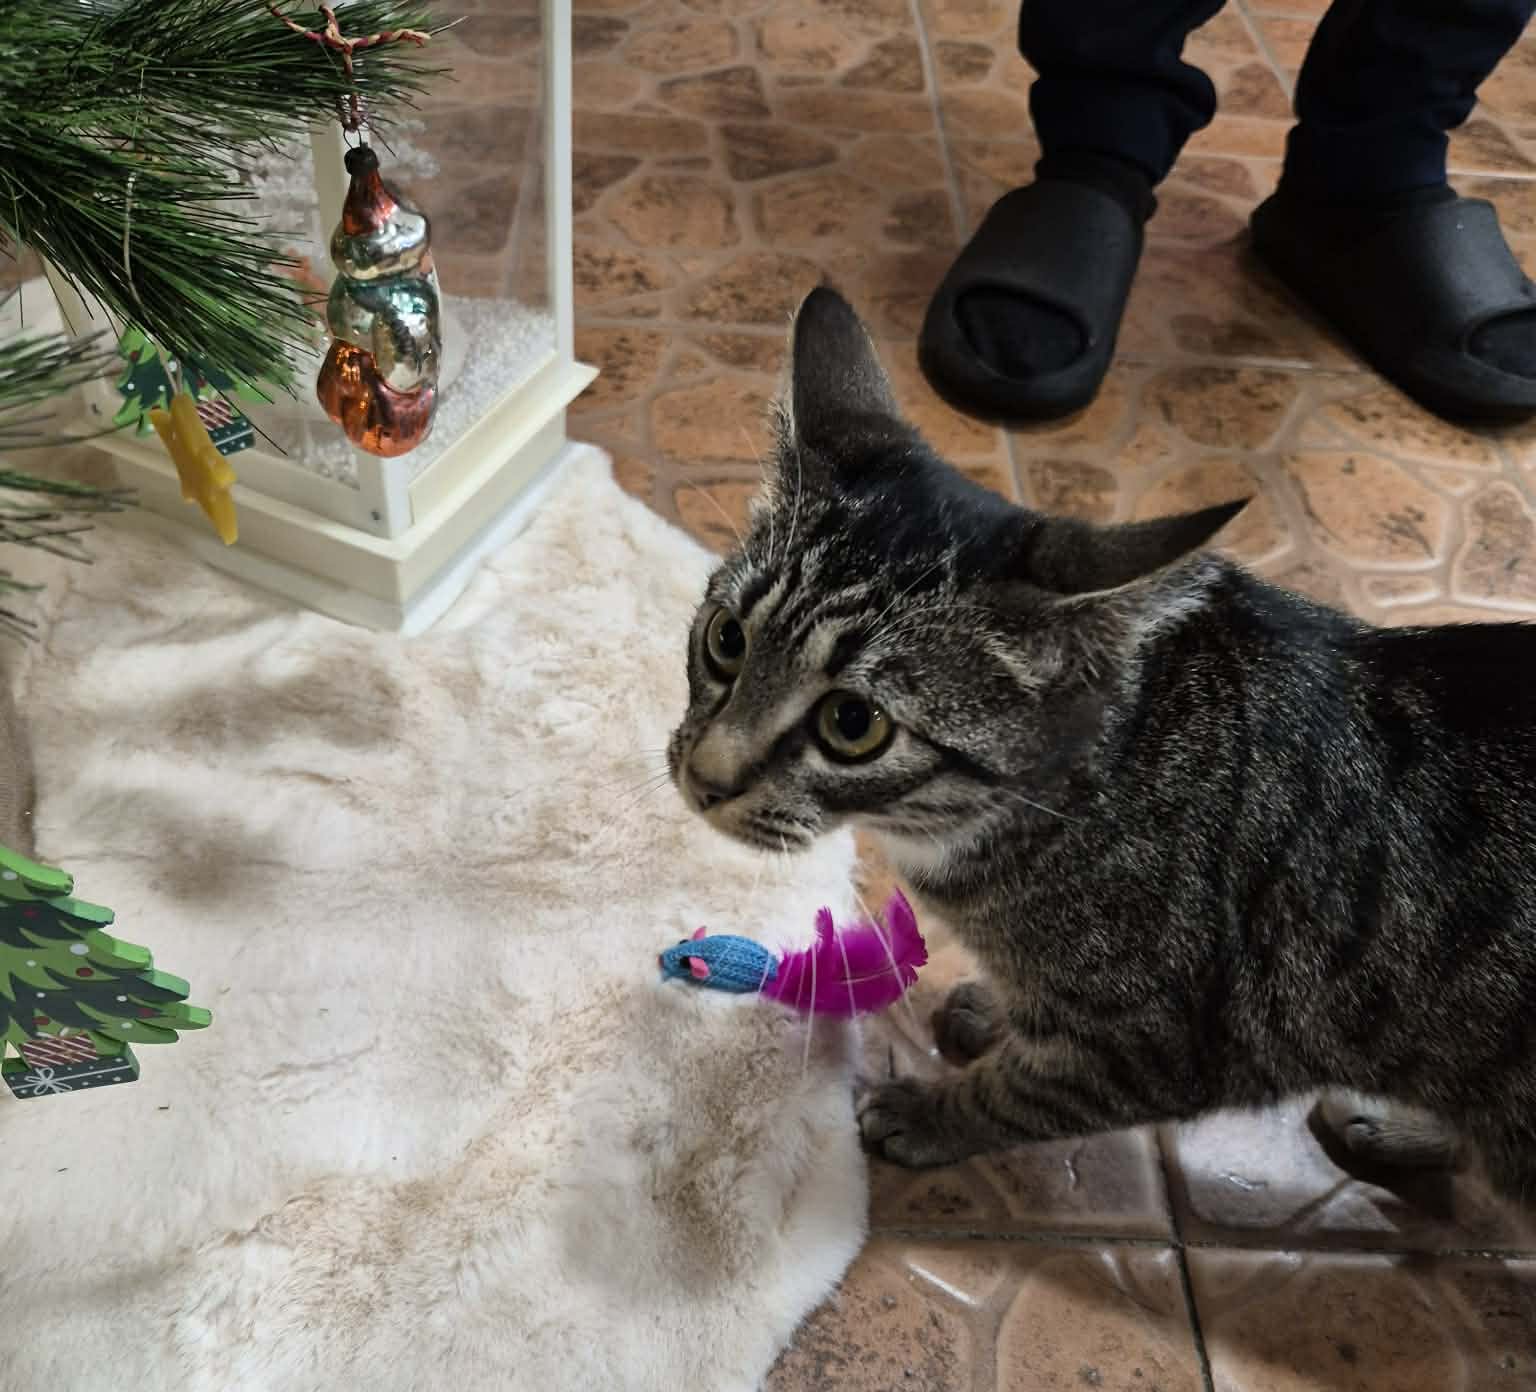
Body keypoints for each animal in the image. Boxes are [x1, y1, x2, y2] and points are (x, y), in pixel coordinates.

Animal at [667, 285, 1535, 1207]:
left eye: (853, 725)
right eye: (725, 640)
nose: (704, 778)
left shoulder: (1165, 1049)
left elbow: (1022, 1094)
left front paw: (934, 1113)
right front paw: (996, 1008)